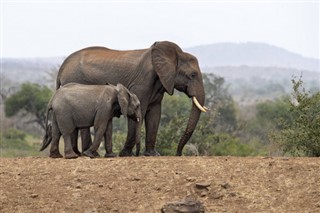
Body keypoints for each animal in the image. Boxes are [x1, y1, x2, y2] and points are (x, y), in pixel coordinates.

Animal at [56, 40, 206, 156]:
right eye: (192, 75)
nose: (178, 153)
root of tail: (63, 66)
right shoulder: (141, 84)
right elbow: (141, 112)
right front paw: (127, 154)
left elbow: (155, 114)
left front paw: (152, 154)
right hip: (76, 79)